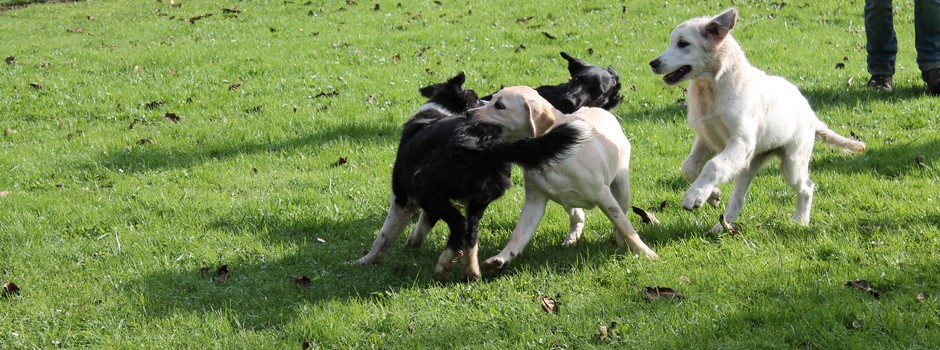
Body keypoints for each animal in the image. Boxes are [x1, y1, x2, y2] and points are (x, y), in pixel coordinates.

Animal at [354, 72, 588, 280]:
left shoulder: (402, 197)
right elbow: (424, 223)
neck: (440, 111)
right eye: (477, 99)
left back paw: (444, 265)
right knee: (471, 233)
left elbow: (385, 234)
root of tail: (485, 144)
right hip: (476, 201)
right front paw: (414, 242)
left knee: (459, 225)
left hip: (427, 189)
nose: (480, 105)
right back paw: (471, 270)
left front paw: (366, 260)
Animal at [466, 85, 656, 270]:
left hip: (621, 188)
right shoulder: (534, 202)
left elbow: (625, 226)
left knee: (619, 215)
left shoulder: (603, 195)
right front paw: (501, 258)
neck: (551, 151)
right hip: (568, 198)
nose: (468, 113)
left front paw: (646, 253)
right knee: (578, 216)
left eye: (500, 105)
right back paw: (572, 238)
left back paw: (618, 240)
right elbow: (518, 234)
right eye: (492, 99)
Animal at [652, 8, 868, 232]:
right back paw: (720, 228)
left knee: (807, 188)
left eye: (683, 43)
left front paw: (695, 196)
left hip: (792, 162)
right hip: (747, 164)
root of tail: (810, 114)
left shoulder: (740, 142)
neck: (713, 88)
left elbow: (713, 166)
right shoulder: (706, 139)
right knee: (738, 200)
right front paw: (713, 194)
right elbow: (689, 167)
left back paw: (800, 220)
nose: (653, 63)